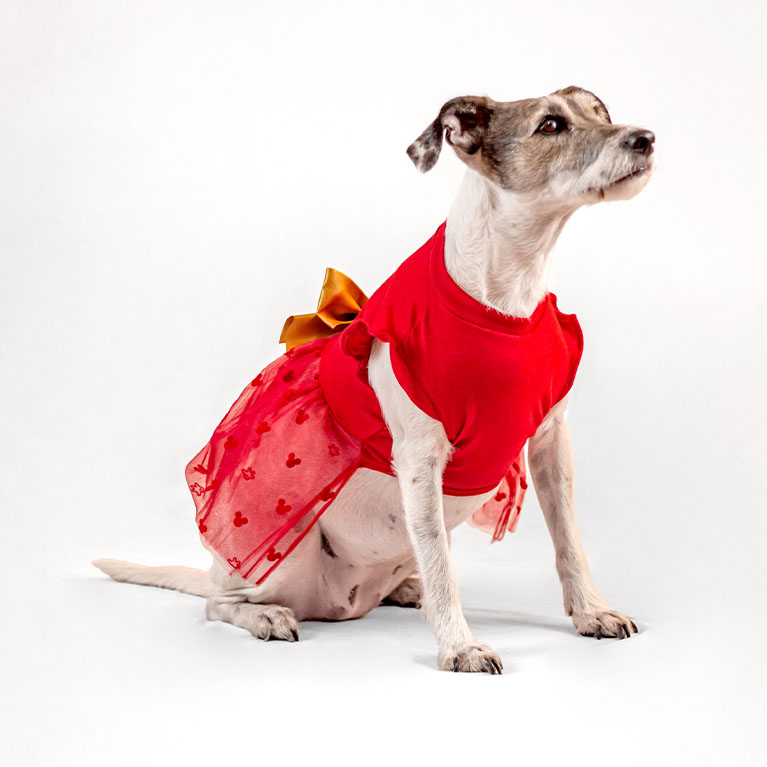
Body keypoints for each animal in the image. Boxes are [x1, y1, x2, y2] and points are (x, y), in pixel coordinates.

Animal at [94, 86, 654, 674]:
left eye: (600, 113)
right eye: (550, 125)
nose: (646, 138)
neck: (505, 297)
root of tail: (340, 602)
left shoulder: (551, 444)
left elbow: (569, 543)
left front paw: (592, 611)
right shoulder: (420, 461)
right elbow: (443, 569)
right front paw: (460, 646)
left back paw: (406, 590)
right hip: (284, 554)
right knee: (217, 602)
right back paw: (267, 614)